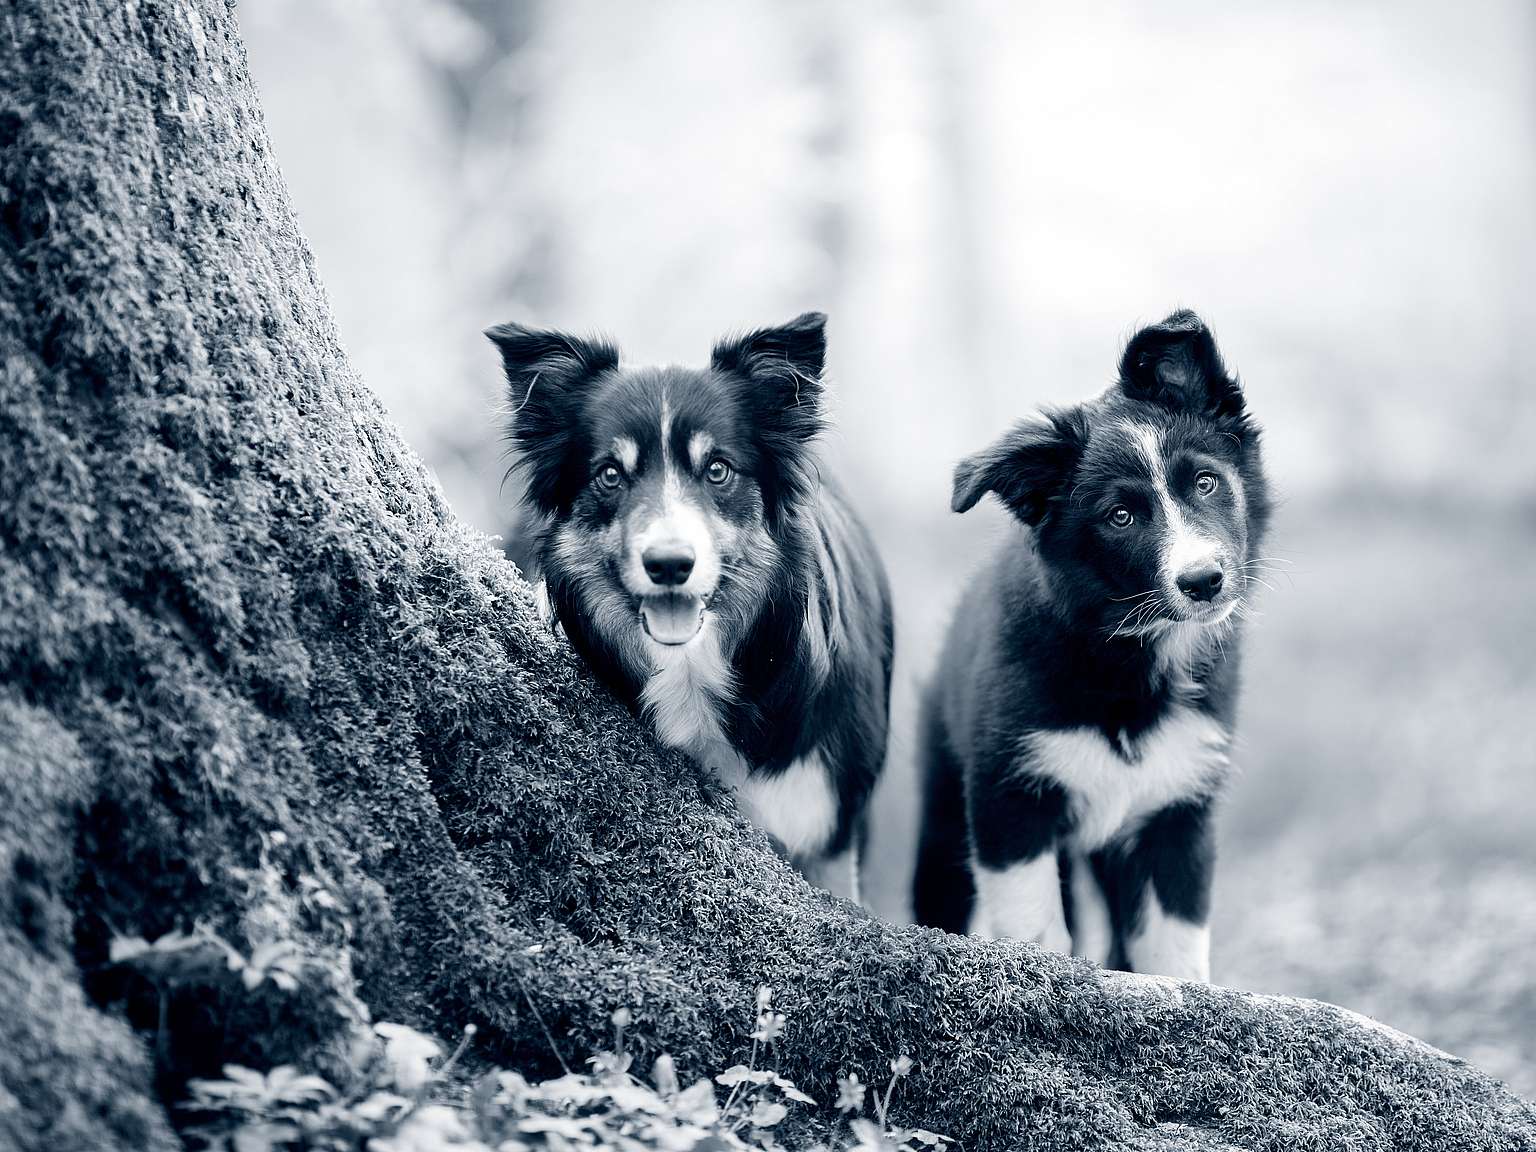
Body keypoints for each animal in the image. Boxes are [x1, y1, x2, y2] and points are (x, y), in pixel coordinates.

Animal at [909, 311, 1271, 976]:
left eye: (1206, 482)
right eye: (1119, 517)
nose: (1204, 581)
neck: (1128, 658)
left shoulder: (1177, 808)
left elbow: (1174, 953)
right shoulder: (1009, 798)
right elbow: (1037, 930)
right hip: (945, 806)